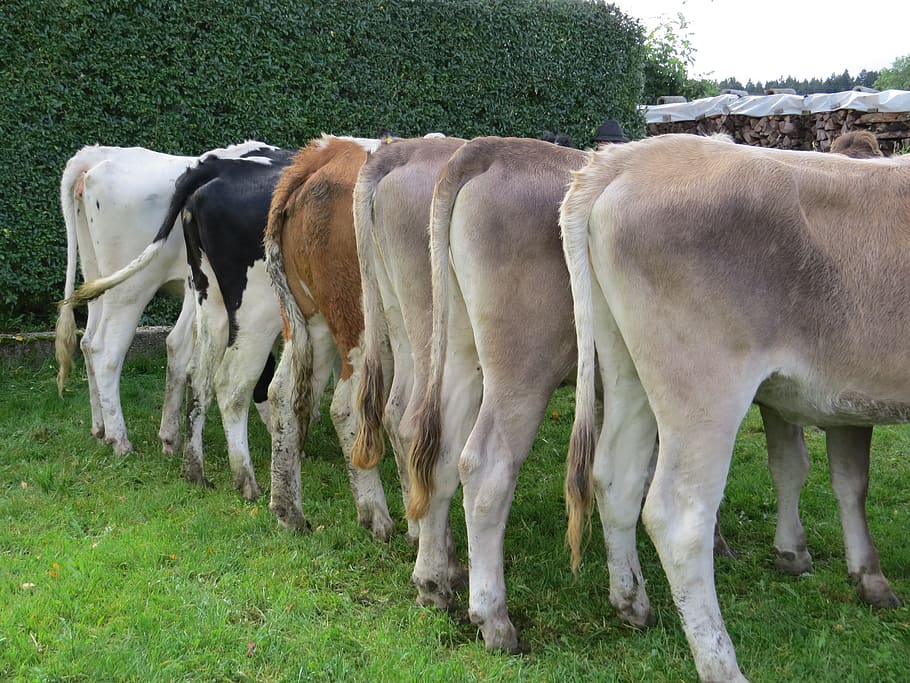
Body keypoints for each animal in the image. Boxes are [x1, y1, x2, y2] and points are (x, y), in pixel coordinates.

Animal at [72, 143, 292, 500]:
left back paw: (107, 430)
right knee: (107, 351)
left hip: (99, 277)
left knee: (90, 341)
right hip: (134, 288)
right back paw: (121, 440)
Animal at [265, 135, 399, 537]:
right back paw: (375, 515)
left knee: (282, 393)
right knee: (345, 408)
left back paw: (289, 510)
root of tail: (329, 152)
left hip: (310, 323)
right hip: (362, 326)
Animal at [559, 133, 910, 681]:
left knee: (615, 476)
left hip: (625, 367)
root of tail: (631, 155)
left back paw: (633, 604)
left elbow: (848, 480)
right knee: (678, 517)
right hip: (705, 390)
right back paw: (721, 665)